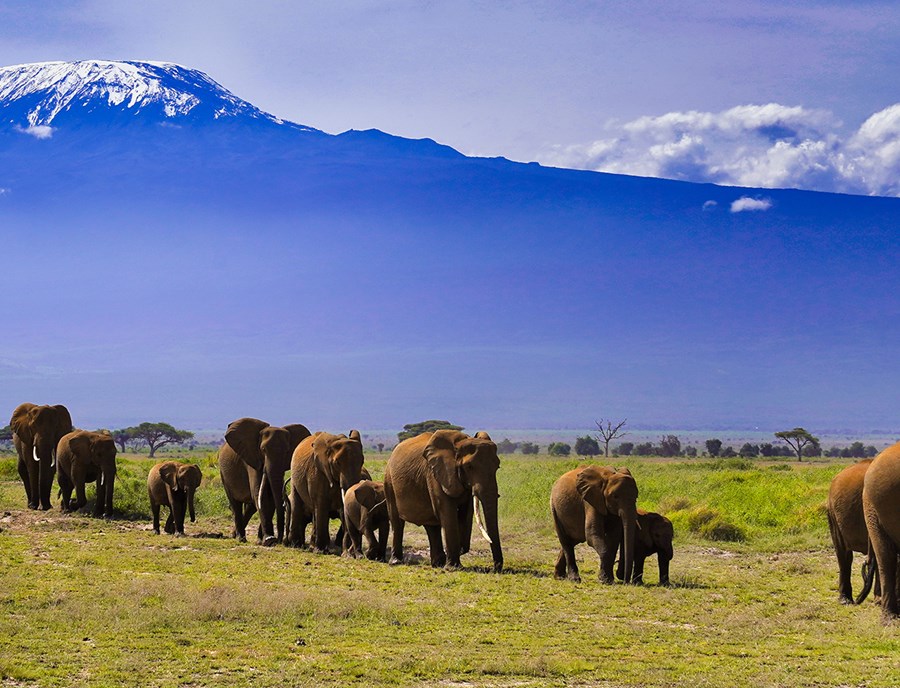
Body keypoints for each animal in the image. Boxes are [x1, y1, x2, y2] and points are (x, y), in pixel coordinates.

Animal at [384, 430, 503, 572]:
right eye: (469, 467)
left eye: (497, 467)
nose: (495, 569)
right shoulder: (436, 474)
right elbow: (448, 512)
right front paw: (453, 568)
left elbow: (465, 514)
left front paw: (458, 552)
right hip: (389, 481)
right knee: (397, 521)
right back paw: (396, 562)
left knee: (431, 525)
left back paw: (438, 563)